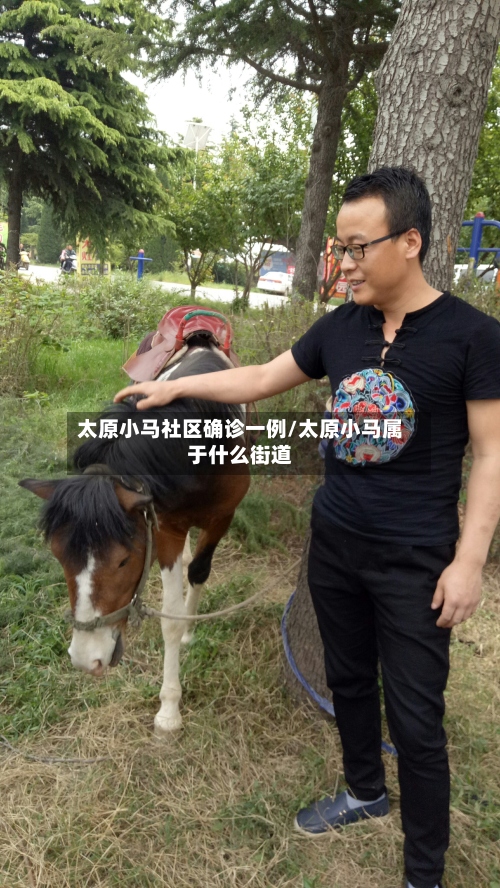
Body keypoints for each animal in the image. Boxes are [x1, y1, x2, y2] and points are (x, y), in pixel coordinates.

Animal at [19, 342, 250, 736]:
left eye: (123, 560)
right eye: (58, 556)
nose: (86, 659)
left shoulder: (223, 516)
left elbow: (198, 577)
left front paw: (171, 700)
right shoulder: (164, 524)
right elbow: (170, 613)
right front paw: (170, 705)